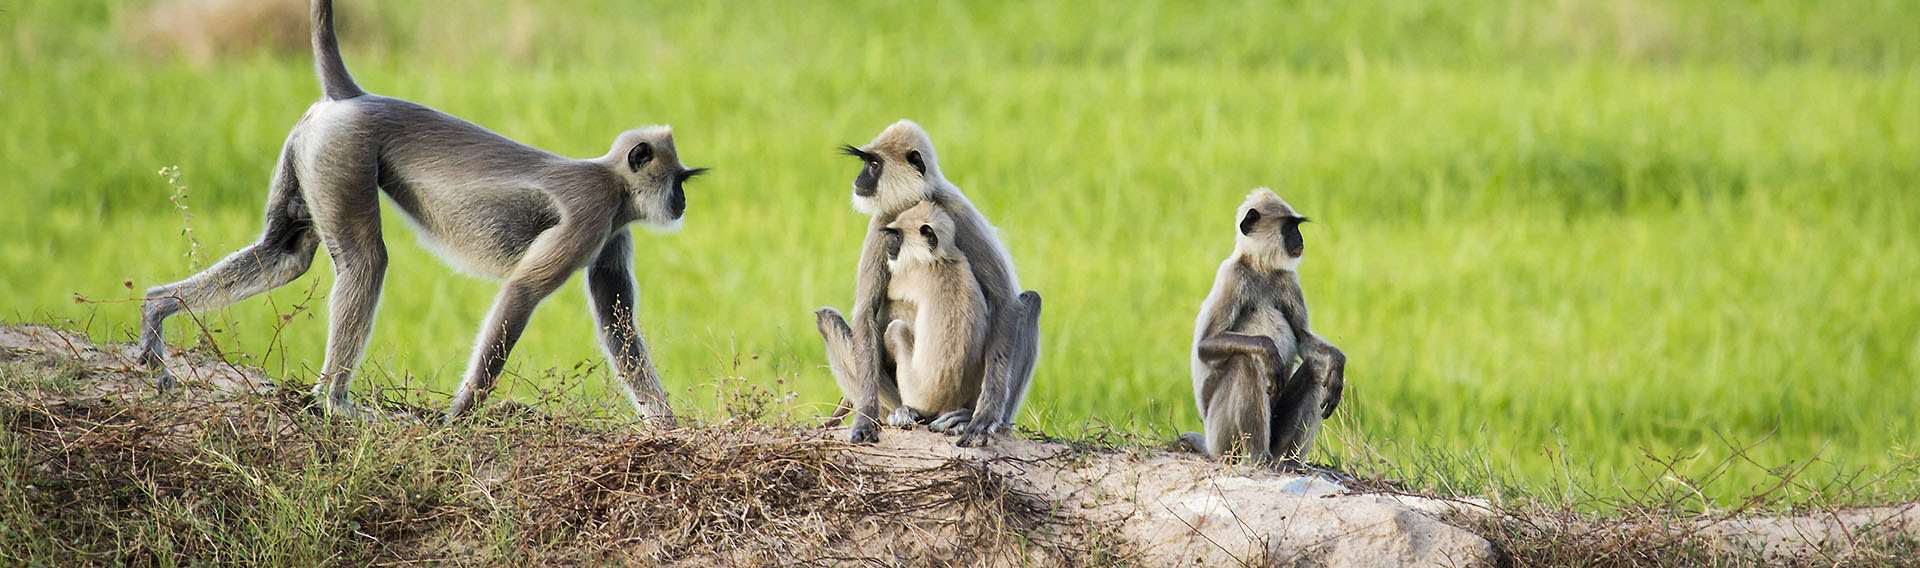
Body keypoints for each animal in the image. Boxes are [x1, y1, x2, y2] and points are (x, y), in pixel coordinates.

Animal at [136, 0, 699, 426]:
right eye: (677, 181)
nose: (682, 203)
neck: (612, 181)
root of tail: (356, 98)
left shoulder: (613, 231)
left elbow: (619, 326)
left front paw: (667, 427)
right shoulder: (592, 213)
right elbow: (522, 293)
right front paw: (458, 417)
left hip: (312, 147)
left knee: (286, 253)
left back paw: (157, 309)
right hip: (345, 149)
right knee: (366, 260)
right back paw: (334, 403)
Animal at [879, 201, 991, 432]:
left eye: (897, 237)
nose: (890, 248)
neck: (942, 260)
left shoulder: (908, 275)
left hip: (913, 389)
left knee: (897, 329)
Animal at [1180, 188, 1347, 467]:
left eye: (1297, 226)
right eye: (1289, 227)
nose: (1300, 239)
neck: (1260, 268)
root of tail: (1210, 445)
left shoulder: (1288, 280)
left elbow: (1302, 337)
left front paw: (1338, 361)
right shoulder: (1231, 276)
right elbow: (1205, 346)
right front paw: (1267, 351)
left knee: (1316, 368)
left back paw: (1290, 460)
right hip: (1222, 436)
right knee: (1243, 361)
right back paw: (1259, 456)